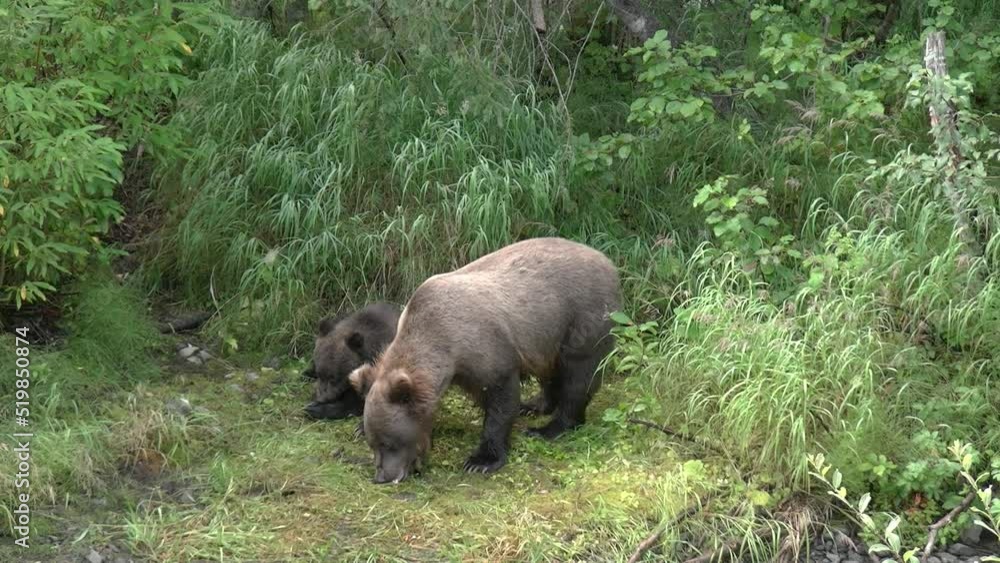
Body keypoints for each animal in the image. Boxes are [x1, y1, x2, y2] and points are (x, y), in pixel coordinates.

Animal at [349, 237, 622, 484]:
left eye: (389, 442)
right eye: (373, 444)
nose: (383, 477)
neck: (446, 346)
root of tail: (606, 260)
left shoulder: (486, 350)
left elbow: (500, 401)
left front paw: (481, 460)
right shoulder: (463, 371)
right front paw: (358, 427)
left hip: (581, 316)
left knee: (579, 373)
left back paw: (551, 427)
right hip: (548, 334)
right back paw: (535, 404)